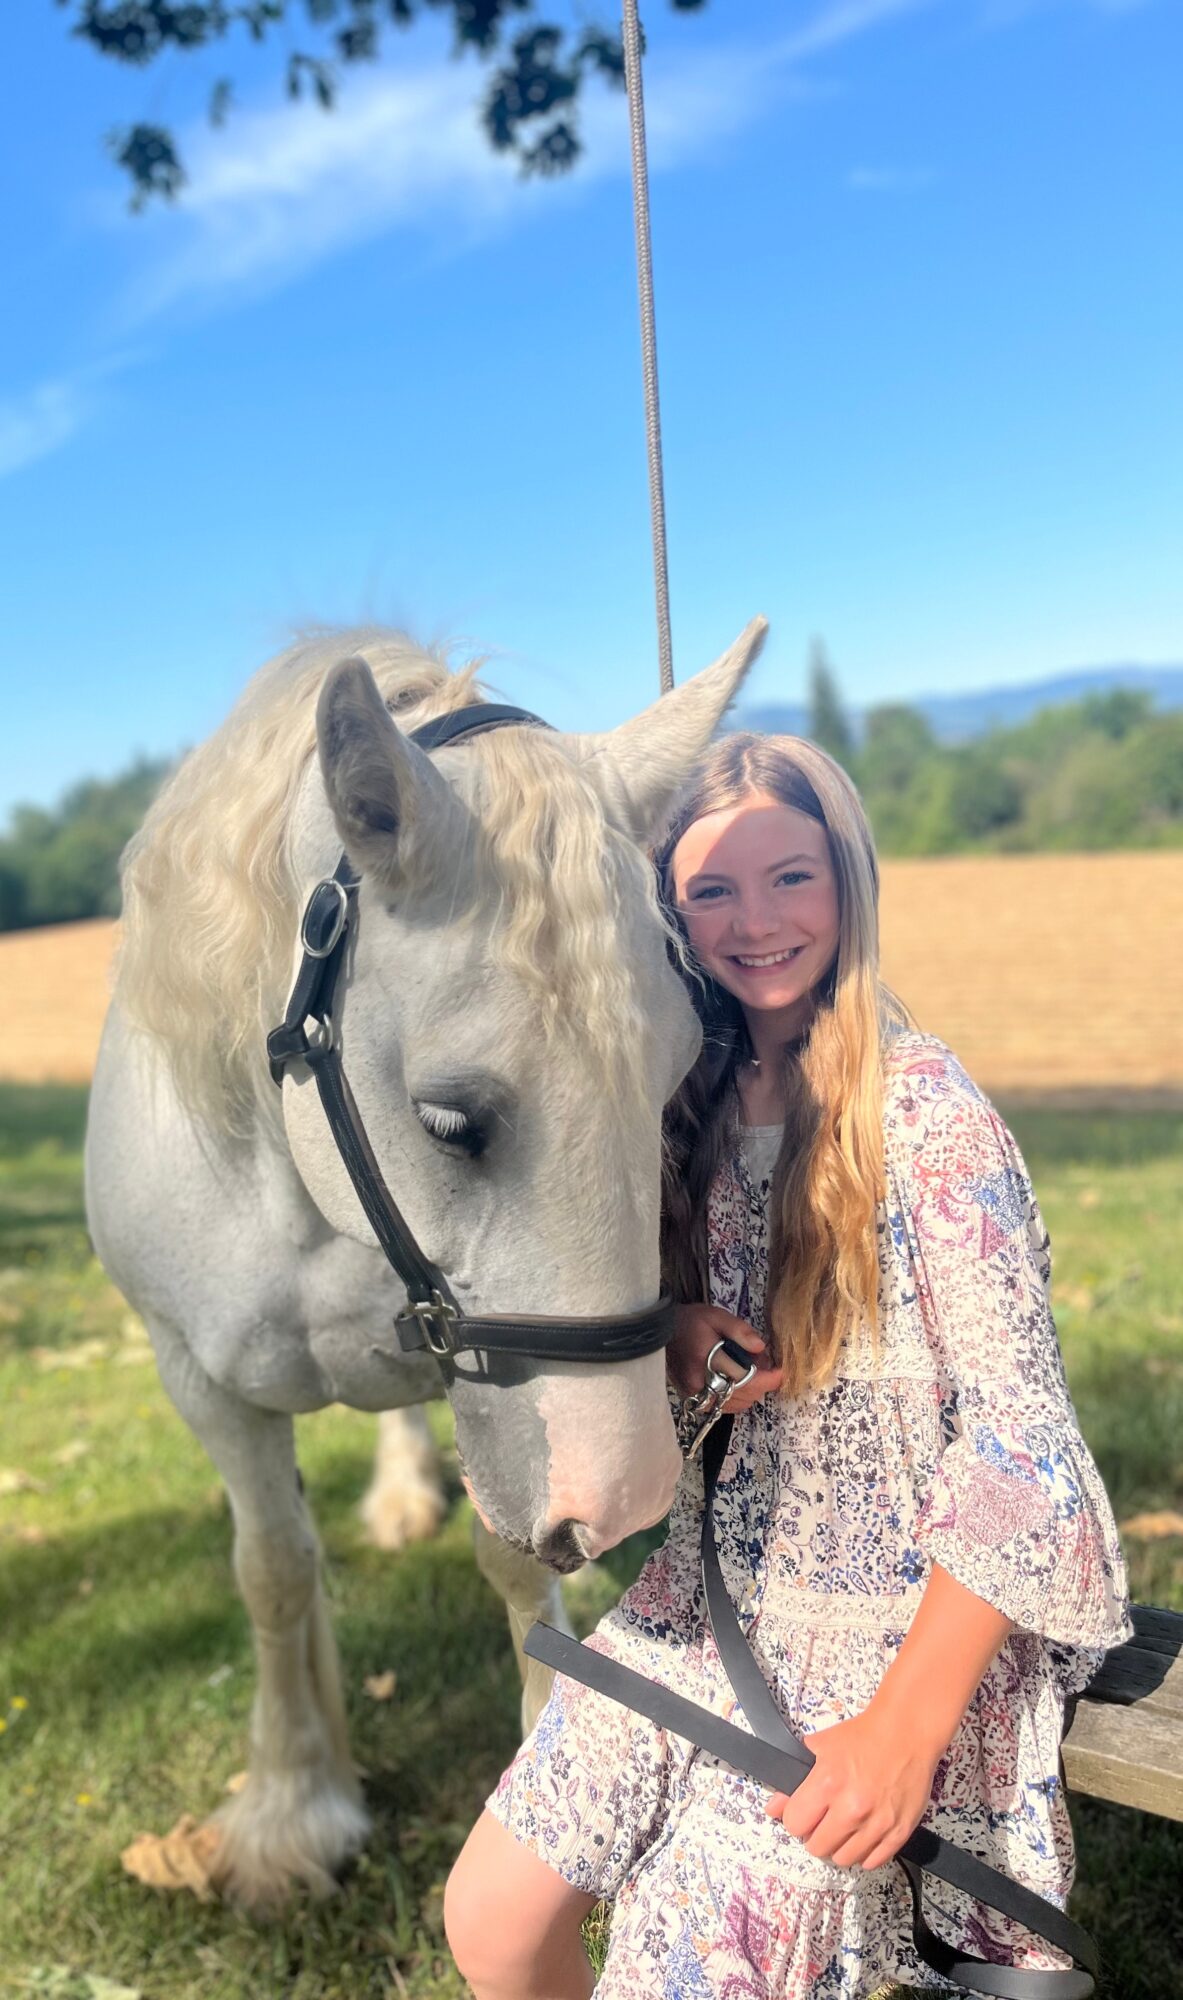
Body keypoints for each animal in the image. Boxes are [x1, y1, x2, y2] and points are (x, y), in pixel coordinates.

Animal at [84, 618, 766, 1909]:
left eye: (673, 1078)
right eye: (450, 1118)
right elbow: (273, 1568)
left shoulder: (482, 1384)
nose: (627, 1498)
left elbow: (512, 1562)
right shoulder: (198, 1381)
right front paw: (292, 1803)